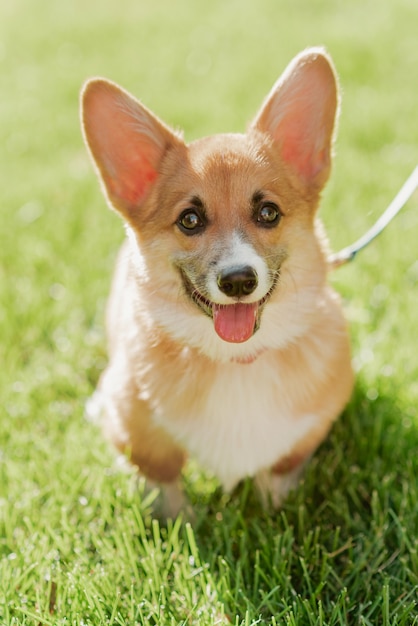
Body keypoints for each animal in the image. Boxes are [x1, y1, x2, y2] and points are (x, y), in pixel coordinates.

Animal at [81, 48, 352, 516]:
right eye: (190, 220)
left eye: (268, 213)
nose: (239, 281)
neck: (234, 360)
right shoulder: (135, 425)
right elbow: (159, 471)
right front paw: (176, 520)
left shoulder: (314, 423)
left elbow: (280, 467)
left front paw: (272, 508)